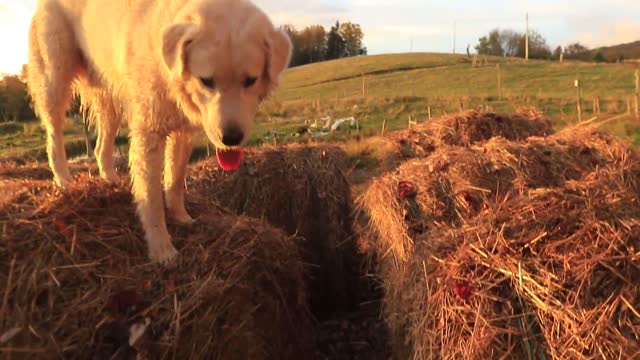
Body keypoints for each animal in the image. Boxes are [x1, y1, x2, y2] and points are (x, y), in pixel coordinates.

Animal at [27, 0, 292, 264]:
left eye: (250, 80)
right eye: (206, 81)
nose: (231, 138)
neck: (168, 69)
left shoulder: (183, 133)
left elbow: (174, 181)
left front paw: (181, 218)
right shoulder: (149, 134)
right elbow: (151, 198)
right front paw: (161, 250)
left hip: (110, 99)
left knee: (102, 146)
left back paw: (110, 179)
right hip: (54, 81)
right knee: (54, 136)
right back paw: (63, 180)